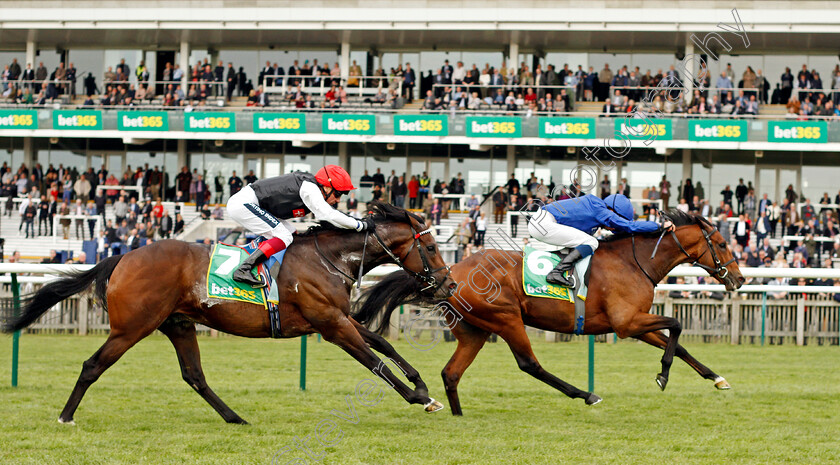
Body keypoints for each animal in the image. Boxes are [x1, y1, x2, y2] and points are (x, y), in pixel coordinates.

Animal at [1, 201, 460, 422]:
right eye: (430, 246)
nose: (450, 284)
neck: (328, 258)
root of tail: (123, 257)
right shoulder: (331, 325)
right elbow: (374, 362)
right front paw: (420, 397)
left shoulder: (338, 317)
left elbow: (383, 343)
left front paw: (421, 384)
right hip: (131, 327)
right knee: (92, 366)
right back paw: (65, 416)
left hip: (179, 324)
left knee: (194, 376)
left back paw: (235, 417)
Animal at [352, 210, 740, 414]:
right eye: (722, 244)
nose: (739, 278)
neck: (635, 262)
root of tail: (450, 271)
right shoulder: (626, 323)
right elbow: (676, 324)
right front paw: (663, 375)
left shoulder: (635, 323)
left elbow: (679, 341)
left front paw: (718, 378)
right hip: (506, 318)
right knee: (529, 364)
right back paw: (586, 394)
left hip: (474, 330)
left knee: (451, 373)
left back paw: (454, 413)